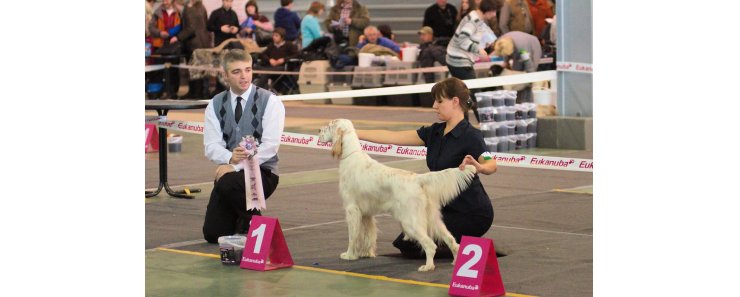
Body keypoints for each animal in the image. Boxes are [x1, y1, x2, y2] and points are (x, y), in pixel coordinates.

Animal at [316, 118, 476, 270]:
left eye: (329, 125)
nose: (318, 130)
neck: (350, 155)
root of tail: (417, 178)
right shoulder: (366, 213)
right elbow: (368, 235)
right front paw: (366, 253)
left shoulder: (352, 209)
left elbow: (353, 236)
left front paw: (349, 255)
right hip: (433, 219)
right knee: (451, 240)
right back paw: (454, 261)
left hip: (410, 221)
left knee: (430, 245)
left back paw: (428, 266)